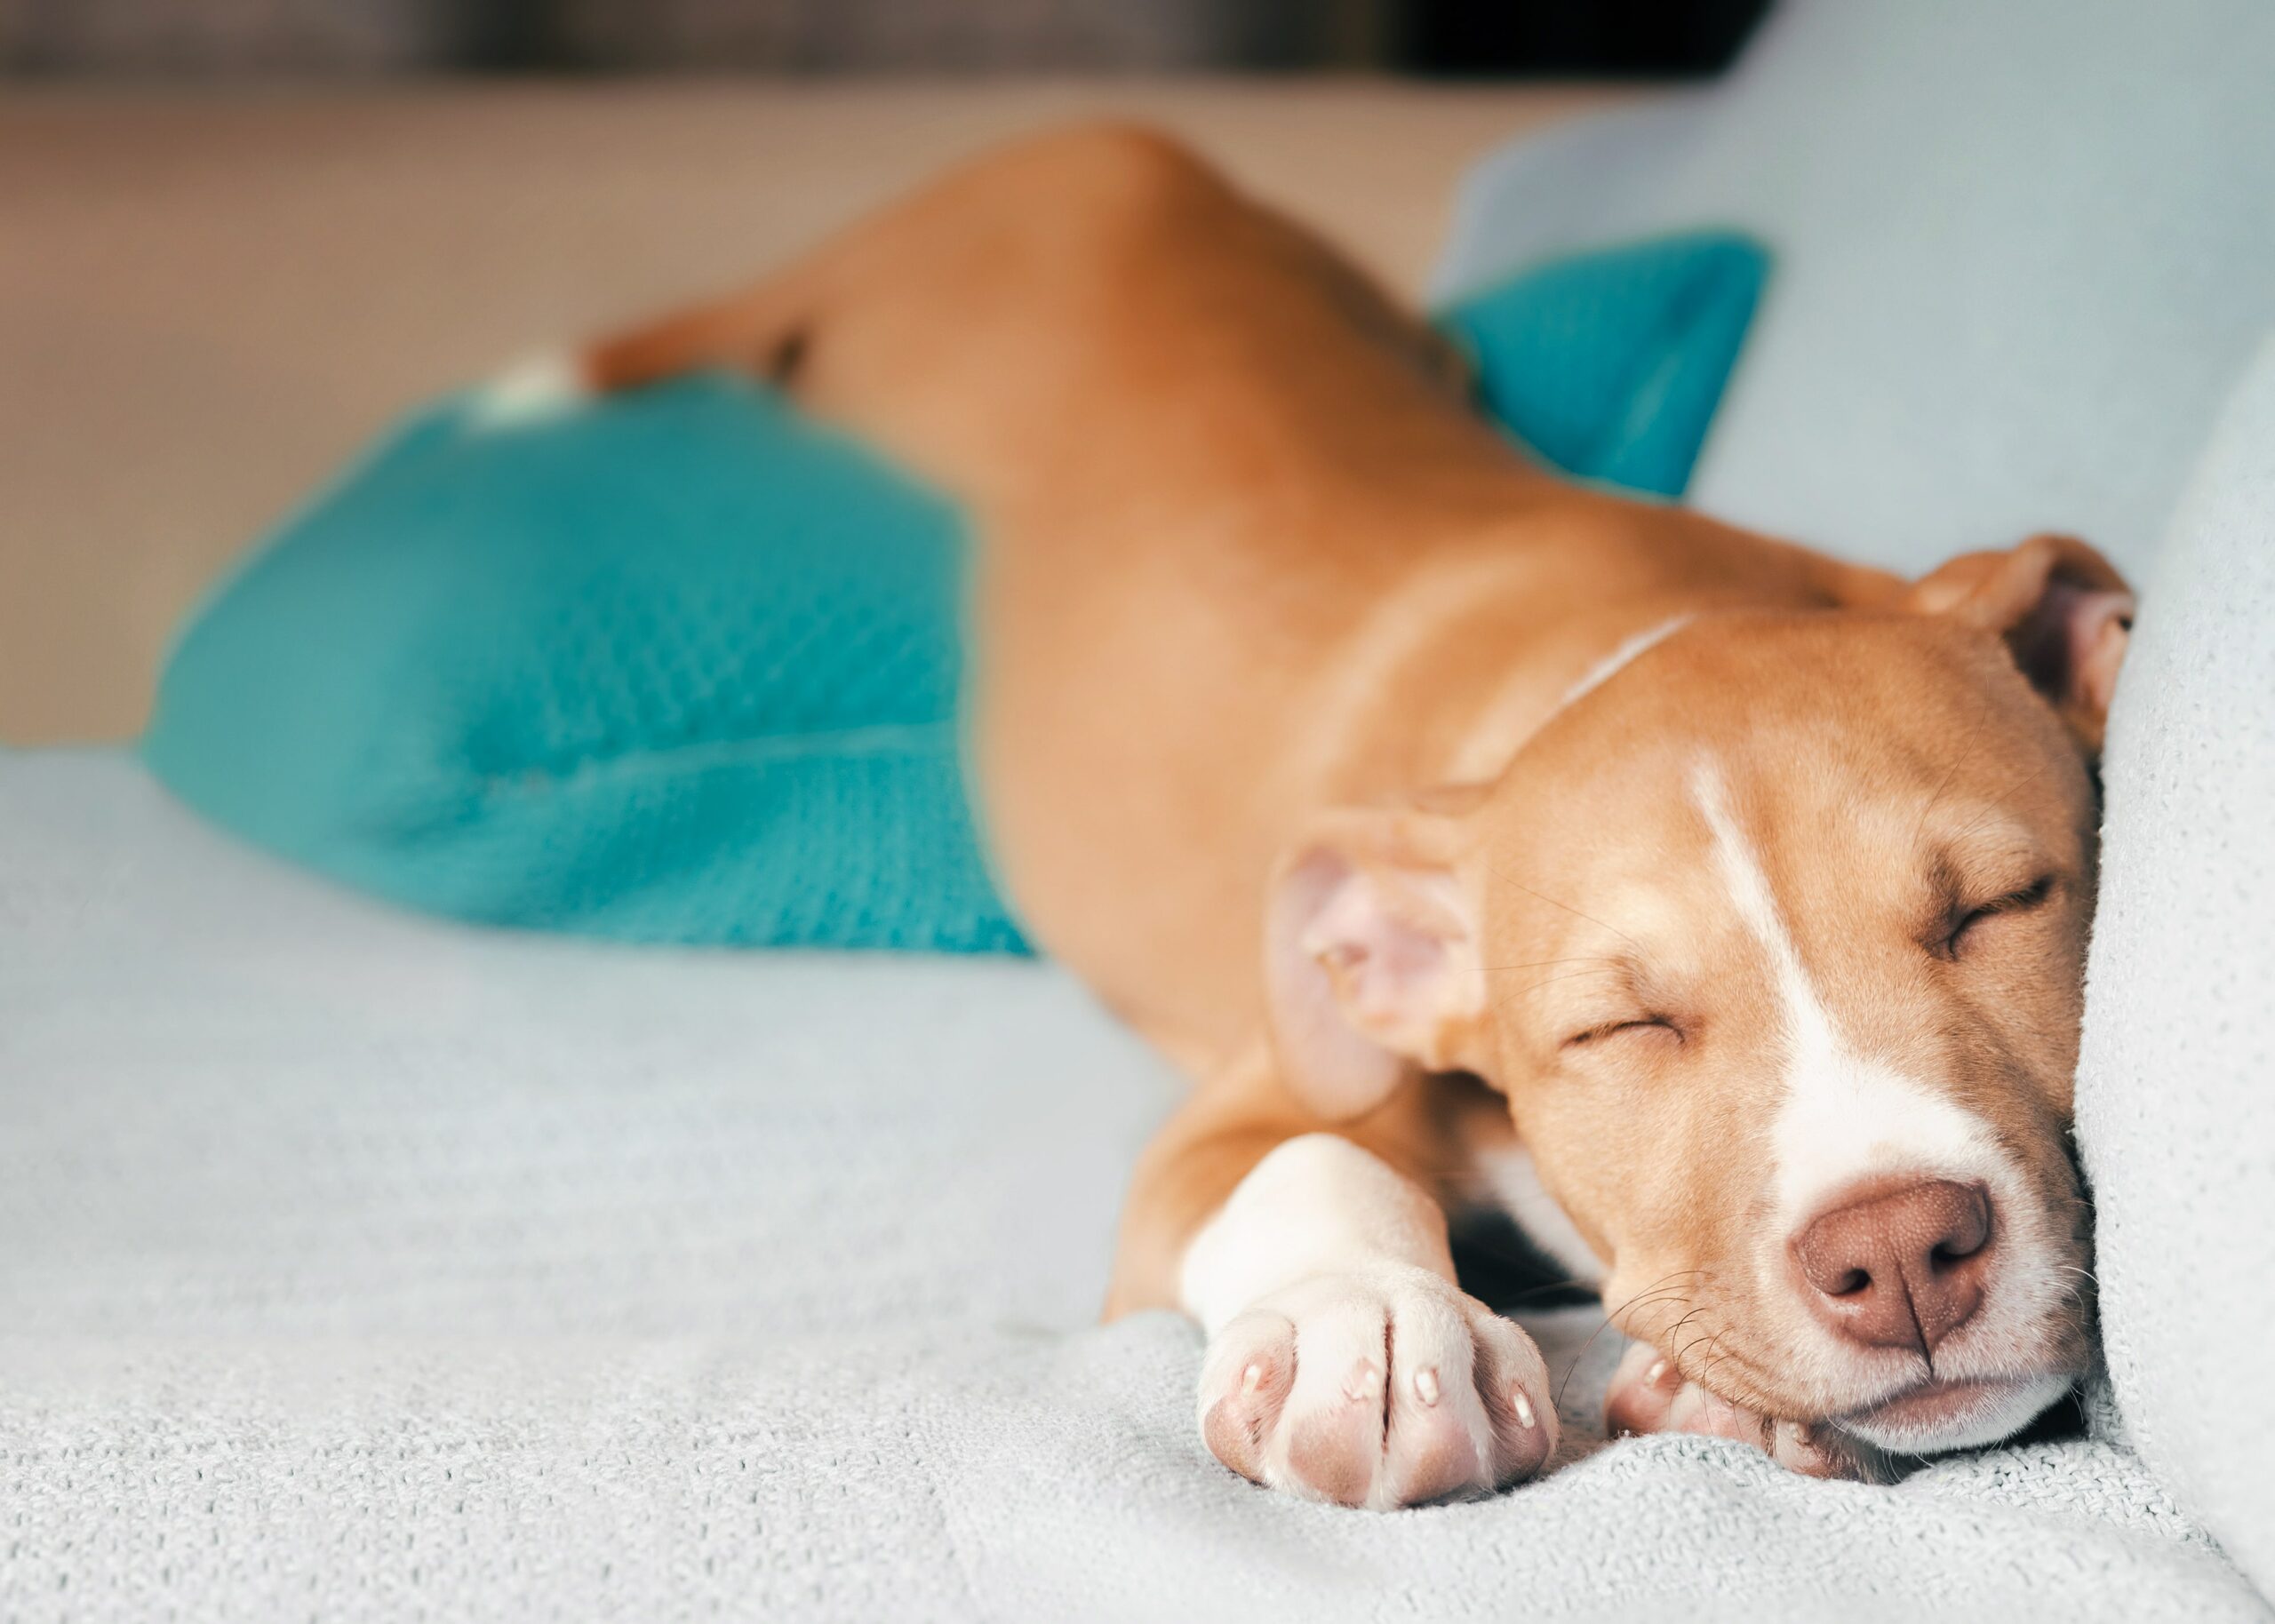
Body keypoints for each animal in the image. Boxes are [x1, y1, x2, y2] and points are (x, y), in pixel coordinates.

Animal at [555, 123, 2129, 1501]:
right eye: (1624, 1029)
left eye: (2000, 907)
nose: (1902, 1249)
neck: (1617, 633)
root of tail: (1091, 144)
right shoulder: (1235, 1114)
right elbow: (1311, 1152)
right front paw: (1363, 1330)